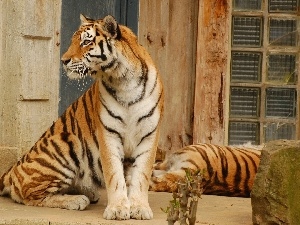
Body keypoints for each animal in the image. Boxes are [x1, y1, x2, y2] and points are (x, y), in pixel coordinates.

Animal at [0, 14, 163, 220]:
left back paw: (87, 193)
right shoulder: (108, 134)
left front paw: (139, 208)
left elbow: (141, 175)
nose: (63, 60)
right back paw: (77, 200)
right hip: (67, 143)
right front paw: (118, 209)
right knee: (29, 195)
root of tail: (13, 169)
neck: (123, 79)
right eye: (73, 41)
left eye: (86, 42)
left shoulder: (149, 134)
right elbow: (115, 175)